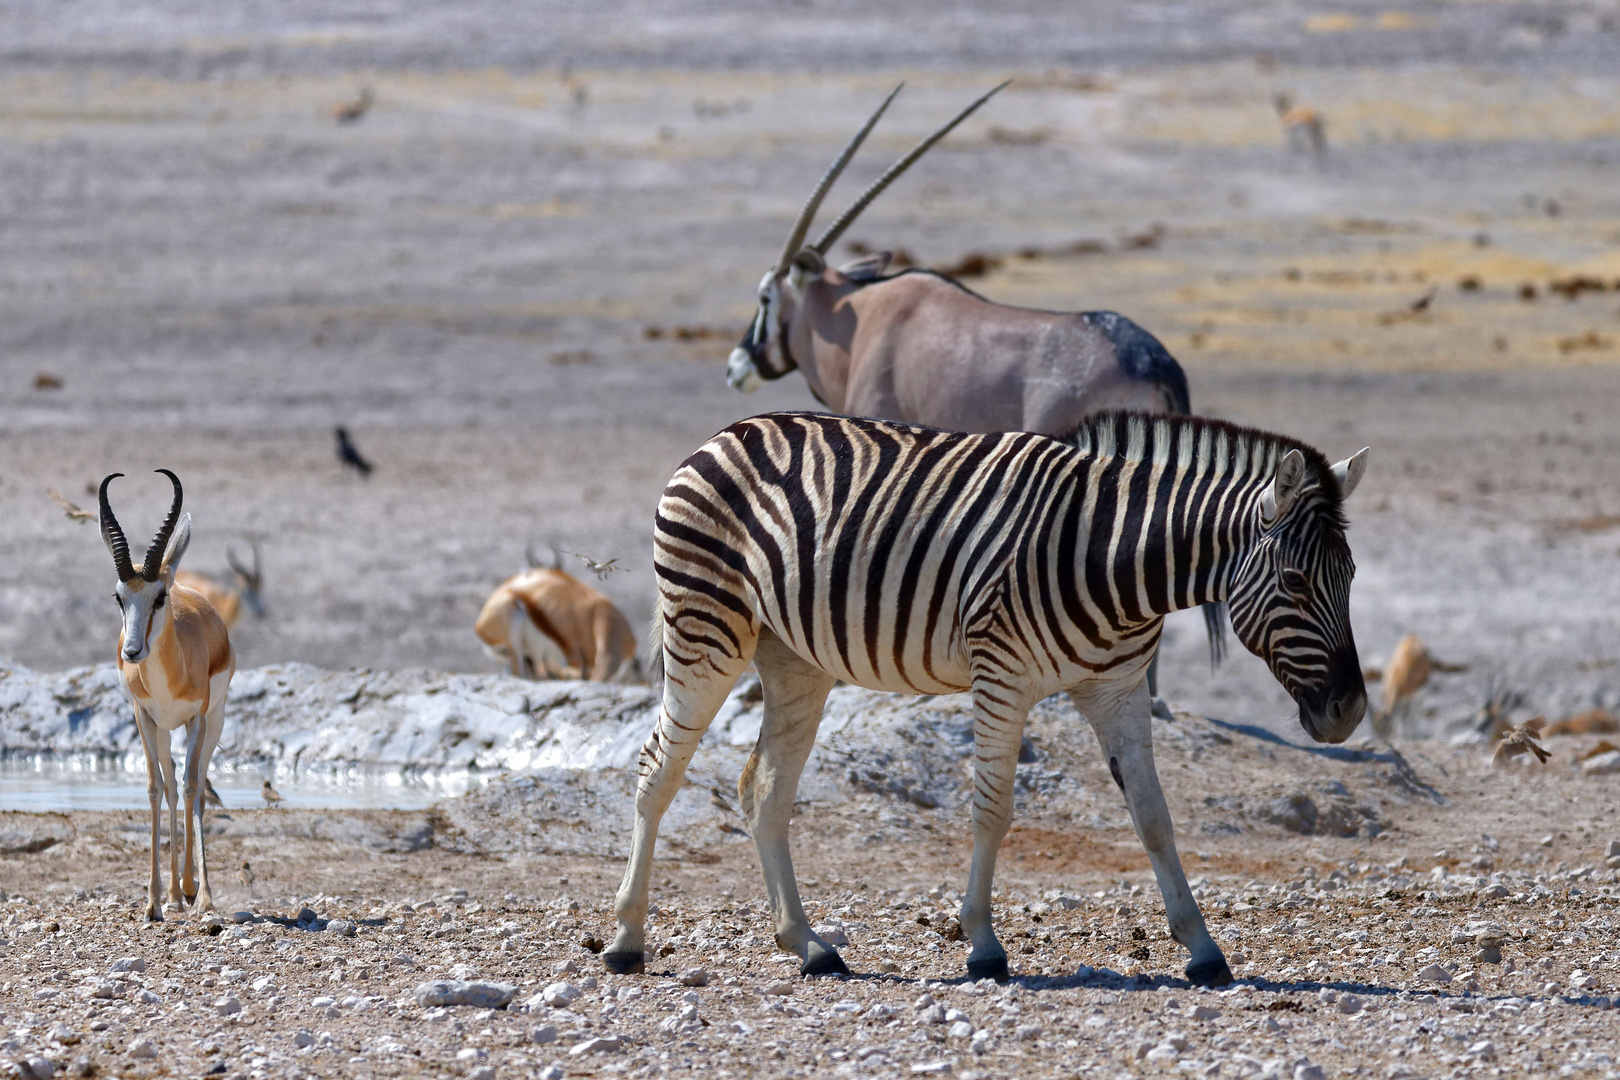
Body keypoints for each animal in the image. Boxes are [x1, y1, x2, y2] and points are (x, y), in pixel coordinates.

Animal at [609, 409, 1367, 984]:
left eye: (1352, 576)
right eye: (1296, 582)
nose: (1351, 711)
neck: (1113, 558)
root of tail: (726, 432)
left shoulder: (1119, 691)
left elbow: (1155, 818)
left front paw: (1204, 950)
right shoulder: (1002, 678)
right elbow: (993, 811)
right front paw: (983, 946)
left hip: (796, 660)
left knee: (763, 790)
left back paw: (809, 945)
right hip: (707, 630)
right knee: (657, 769)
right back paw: (626, 942)